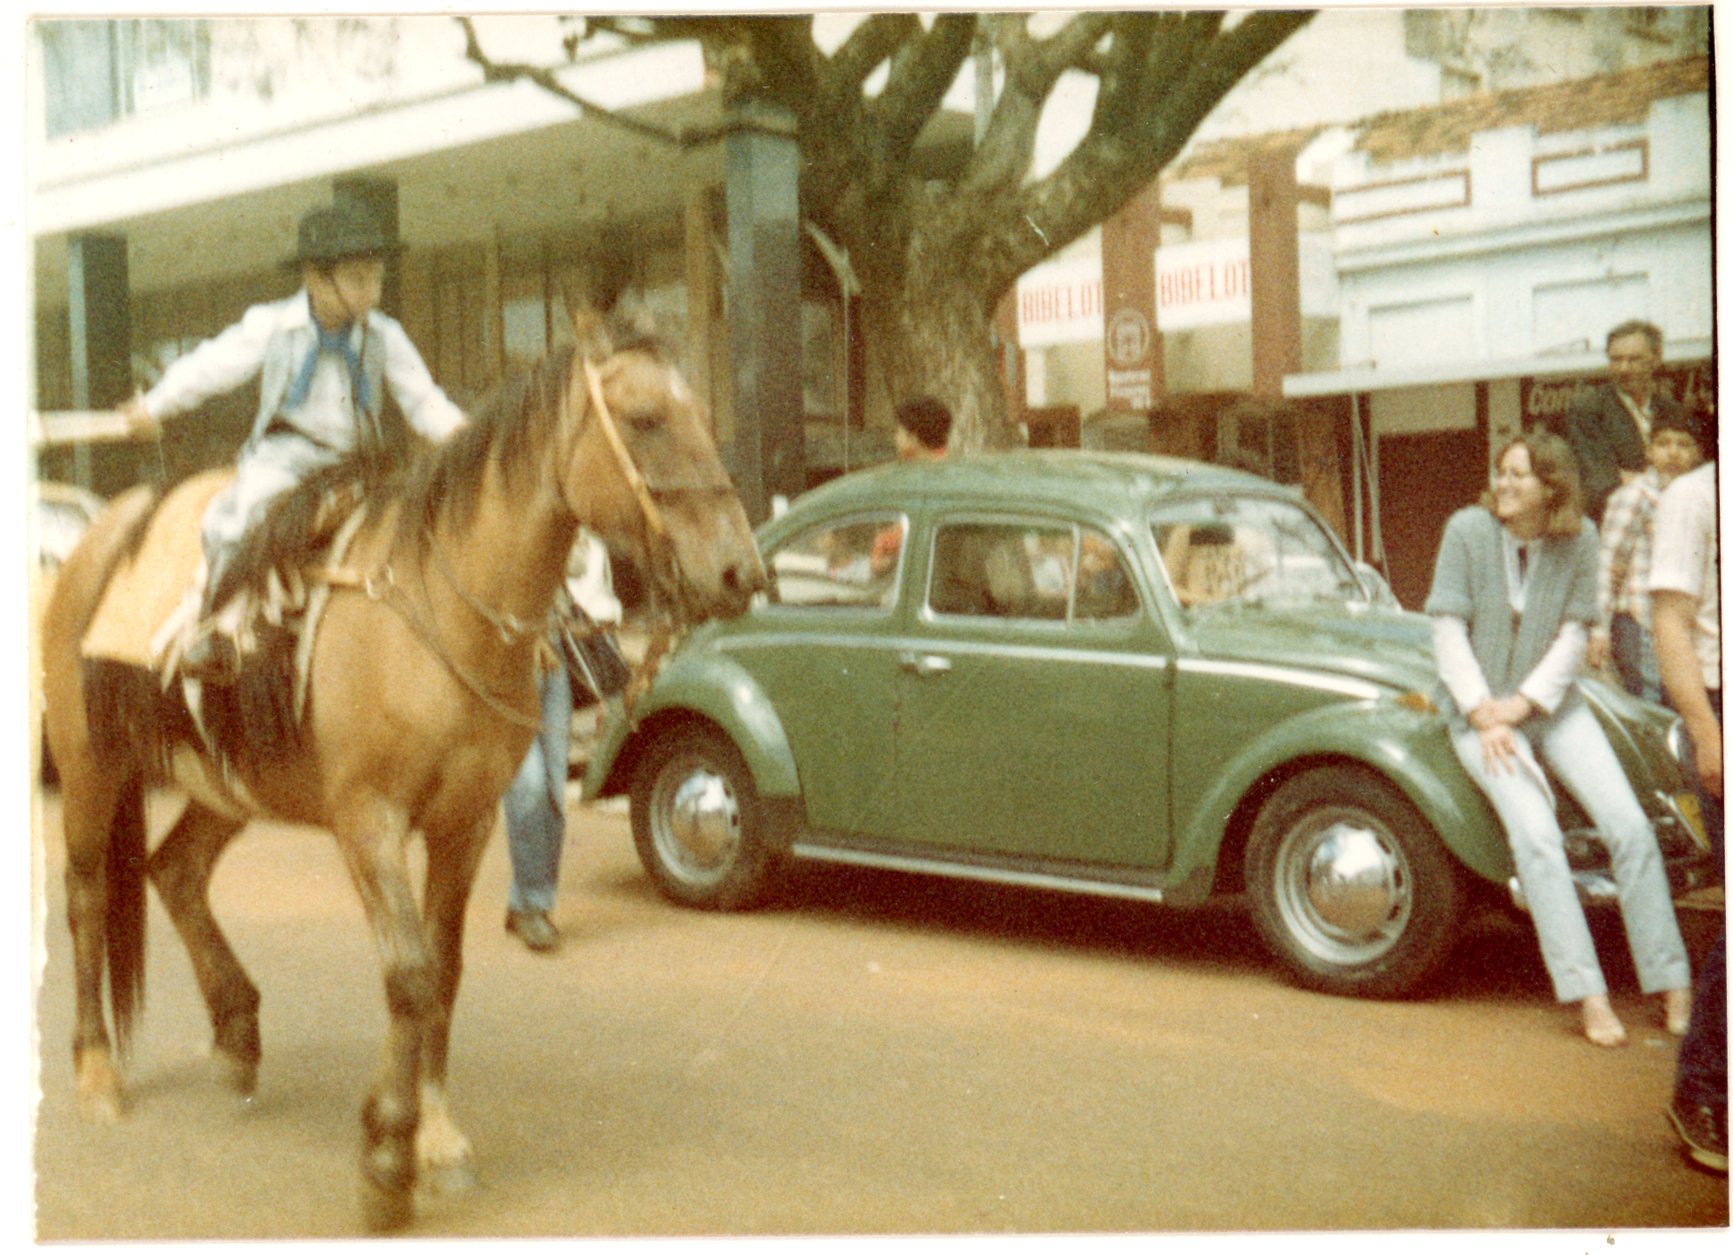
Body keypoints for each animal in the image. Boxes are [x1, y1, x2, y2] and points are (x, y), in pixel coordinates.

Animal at [40, 307, 766, 1232]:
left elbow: (444, 974)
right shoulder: (369, 819)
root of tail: (100, 537)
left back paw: (236, 1030)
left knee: (175, 869)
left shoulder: (466, 820)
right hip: (90, 765)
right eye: (643, 419)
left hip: (227, 781)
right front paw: (386, 1154)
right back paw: (97, 1071)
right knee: (89, 897)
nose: (739, 571)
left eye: (701, 413)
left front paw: (437, 1136)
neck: (441, 610)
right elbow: (409, 973)